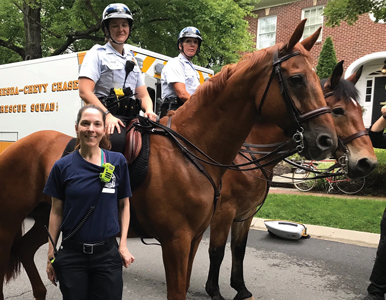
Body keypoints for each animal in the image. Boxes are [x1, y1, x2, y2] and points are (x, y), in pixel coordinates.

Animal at [0, 19, 338, 298]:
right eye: (297, 79)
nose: (326, 140)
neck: (192, 151)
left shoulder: (195, 237)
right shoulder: (177, 240)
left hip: (47, 216)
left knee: (25, 250)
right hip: (10, 219)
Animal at [205, 61, 376, 300]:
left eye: (360, 111)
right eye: (338, 111)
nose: (367, 162)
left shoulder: (245, 212)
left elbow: (239, 249)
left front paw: (241, 288)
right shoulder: (223, 212)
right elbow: (216, 251)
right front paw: (214, 291)